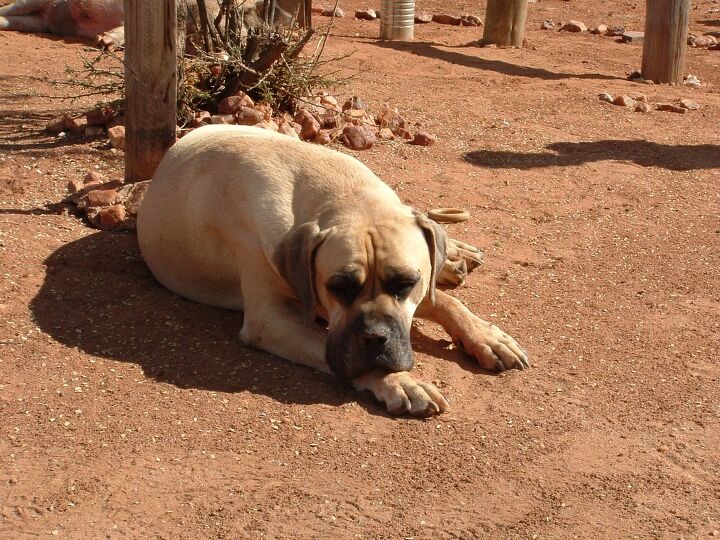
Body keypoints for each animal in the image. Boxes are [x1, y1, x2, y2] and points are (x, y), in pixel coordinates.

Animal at [136, 124, 528, 416]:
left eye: (406, 283)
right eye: (339, 287)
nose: (374, 338)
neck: (343, 192)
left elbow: (446, 301)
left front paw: (485, 335)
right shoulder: (271, 319)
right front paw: (400, 381)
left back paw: (455, 255)